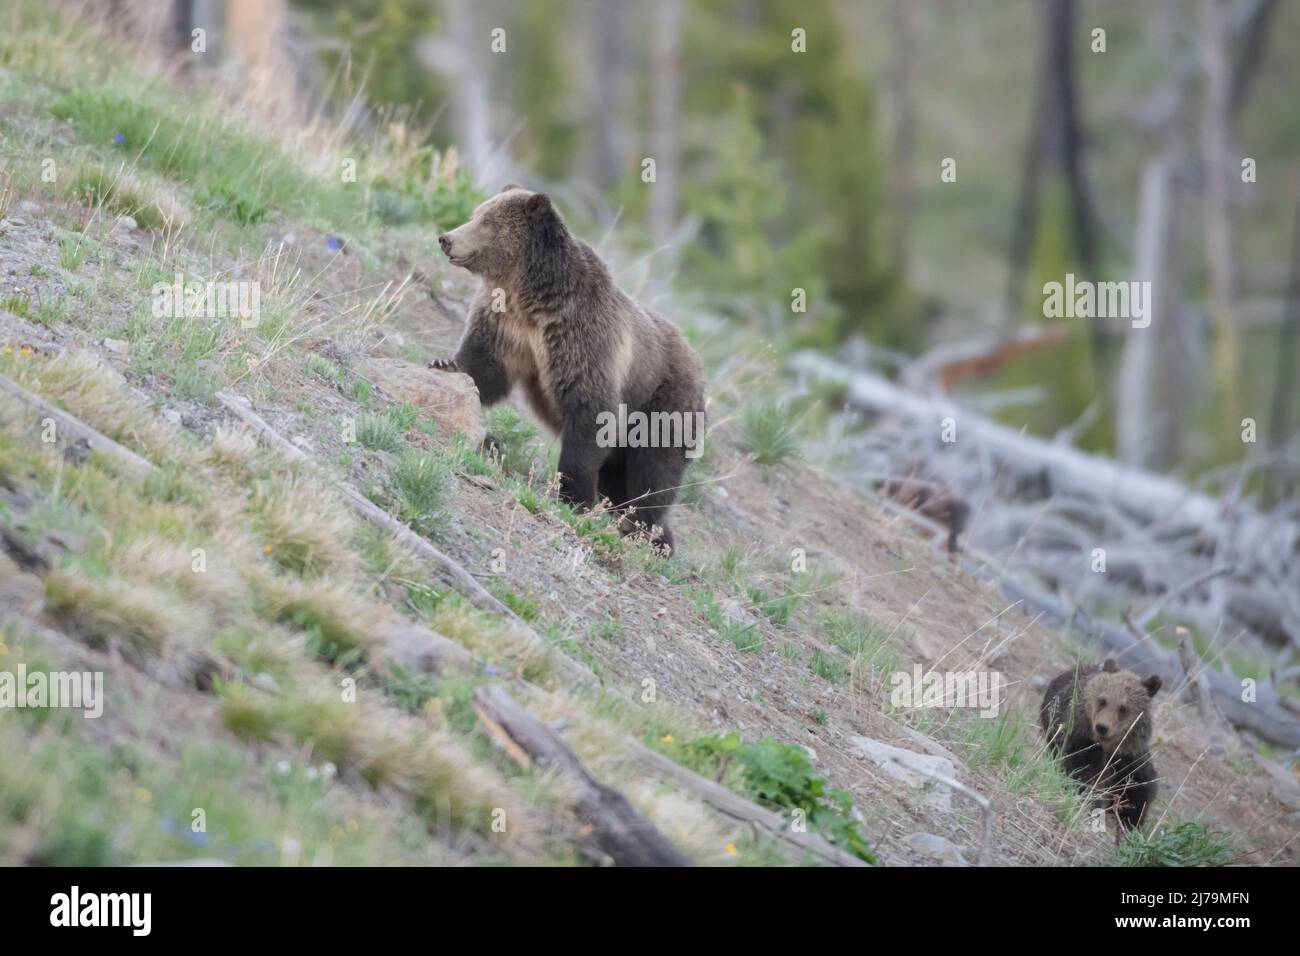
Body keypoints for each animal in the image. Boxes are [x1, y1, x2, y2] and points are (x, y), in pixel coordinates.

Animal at [434, 184, 702, 554]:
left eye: (487, 221)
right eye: (476, 213)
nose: (447, 238)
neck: (531, 298)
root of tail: (697, 361)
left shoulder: (582, 338)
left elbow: (590, 413)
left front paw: (573, 497)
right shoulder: (506, 325)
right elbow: (486, 367)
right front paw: (445, 364)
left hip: (662, 403)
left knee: (653, 473)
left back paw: (647, 532)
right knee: (620, 477)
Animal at [1040, 660, 1164, 832]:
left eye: (1123, 708)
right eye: (1102, 700)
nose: (1102, 727)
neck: (1109, 747)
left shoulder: (1130, 758)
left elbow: (1139, 790)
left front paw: (1131, 819)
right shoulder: (1081, 742)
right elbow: (1082, 773)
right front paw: (1092, 803)